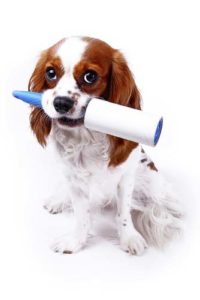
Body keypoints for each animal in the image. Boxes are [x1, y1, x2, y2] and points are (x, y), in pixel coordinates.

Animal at [28, 36, 183, 254]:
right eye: (50, 73)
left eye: (90, 76)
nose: (61, 103)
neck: (87, 138)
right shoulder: (74, 179)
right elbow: (82, 216)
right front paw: (76, 241)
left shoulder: (126, 176)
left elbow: (124, 213)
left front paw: (129, 238)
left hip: (151, 180)